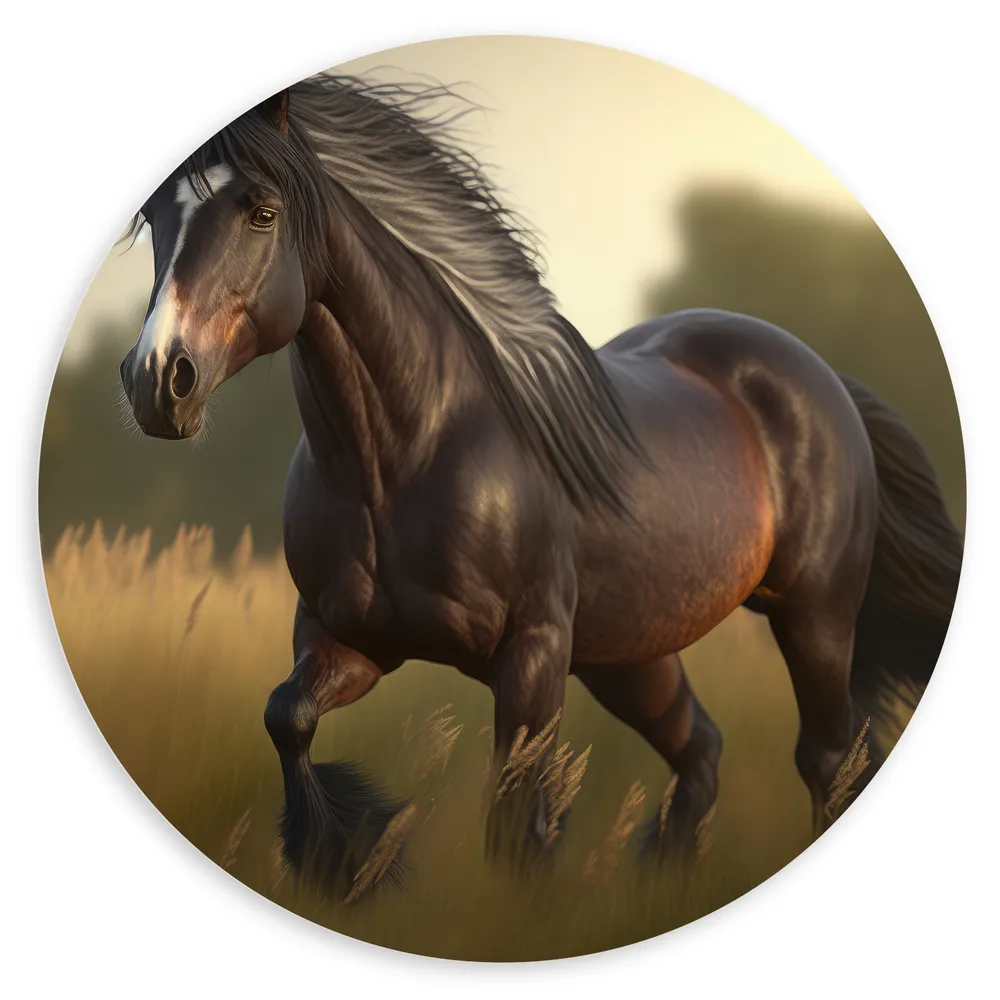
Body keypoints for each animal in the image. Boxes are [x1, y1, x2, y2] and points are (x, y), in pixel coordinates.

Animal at [118, 75, 963, 888]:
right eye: (155, 215)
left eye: (262, 211)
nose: (158, 381)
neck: (404, 457)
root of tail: (825, 379)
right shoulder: (347, 638)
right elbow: (286, 716)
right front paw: (349, 855)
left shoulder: (530, 658)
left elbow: (513, 820)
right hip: (632, 655)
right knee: (703, 751)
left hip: (815, 616)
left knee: (827, 761)